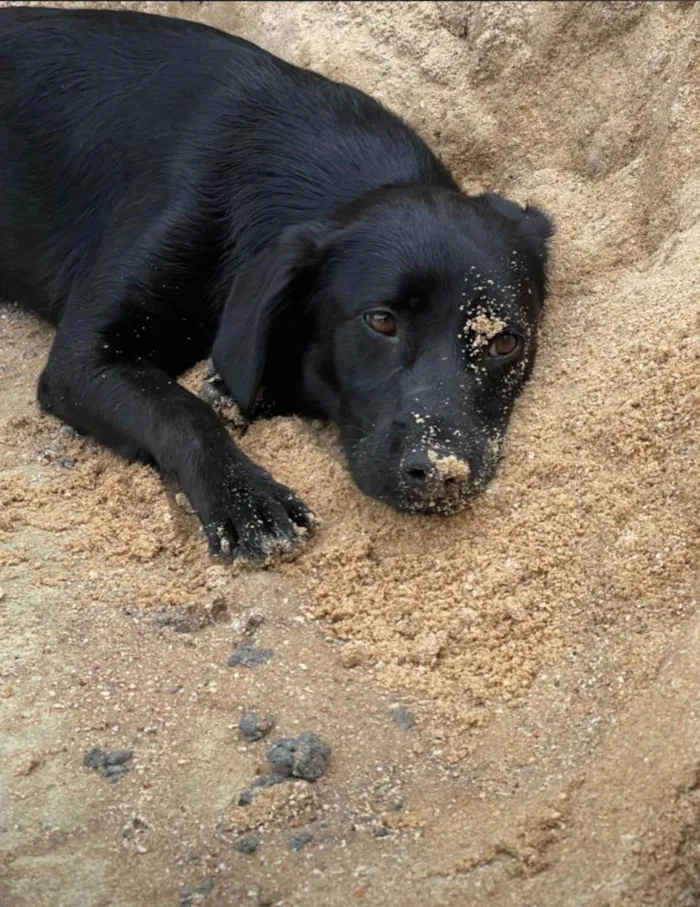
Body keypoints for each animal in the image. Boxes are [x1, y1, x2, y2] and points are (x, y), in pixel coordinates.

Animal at [1, 5, 552, 560]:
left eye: (505, 342)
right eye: (380, 321)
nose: (440, 473)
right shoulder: (82, 359)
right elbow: (180, 408)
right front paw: (246, 496)